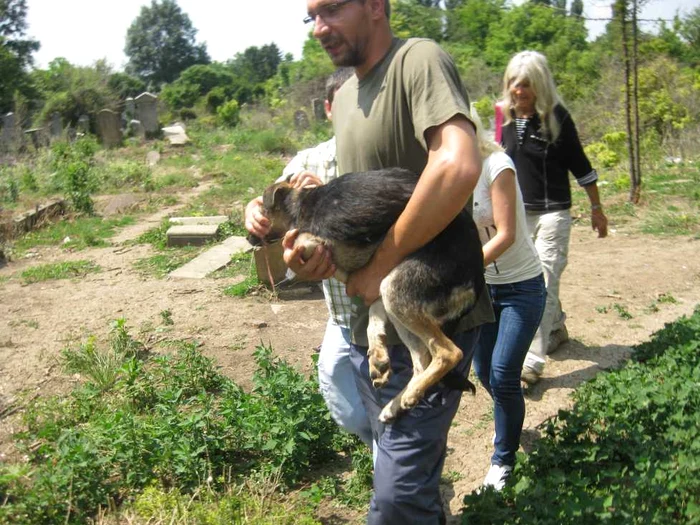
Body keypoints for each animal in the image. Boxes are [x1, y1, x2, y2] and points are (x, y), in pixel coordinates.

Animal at [252, 168, 486, 422]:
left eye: (262, 214)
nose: (249, 237)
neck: (302, 204)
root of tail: (477, 278)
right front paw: (378, 354)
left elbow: (303, 241)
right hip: (397, 296)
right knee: (422, 360)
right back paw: (395, 402)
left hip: (397, 287)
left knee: (448, 353)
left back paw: (409, 391)